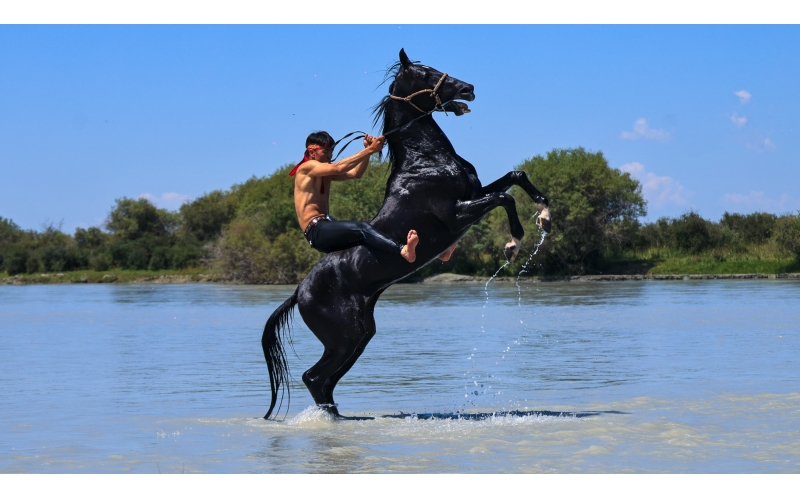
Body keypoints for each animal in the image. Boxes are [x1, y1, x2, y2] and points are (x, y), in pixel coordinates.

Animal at [262, 48, 550, 419]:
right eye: (426, 74)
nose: (469, 88)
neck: (424, 159)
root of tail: (299, 293)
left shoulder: (474, 192)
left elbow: (515, 176)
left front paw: (544, 211)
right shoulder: (457, 213)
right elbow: (505, 197)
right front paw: (514, 242)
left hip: (359, 336)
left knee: (323, 380)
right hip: (345, 335)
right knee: (314, 377)